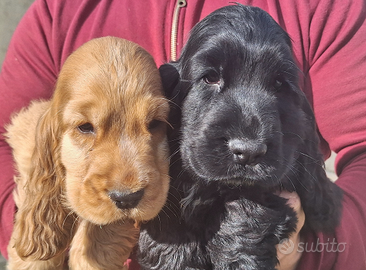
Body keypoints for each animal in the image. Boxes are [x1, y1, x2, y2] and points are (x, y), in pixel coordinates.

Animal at [138, 4, 344, 270]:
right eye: (210, 78)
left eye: (279, 84)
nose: (248, 151)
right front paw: (173, 257)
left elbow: (246, 206)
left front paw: (239, 258)